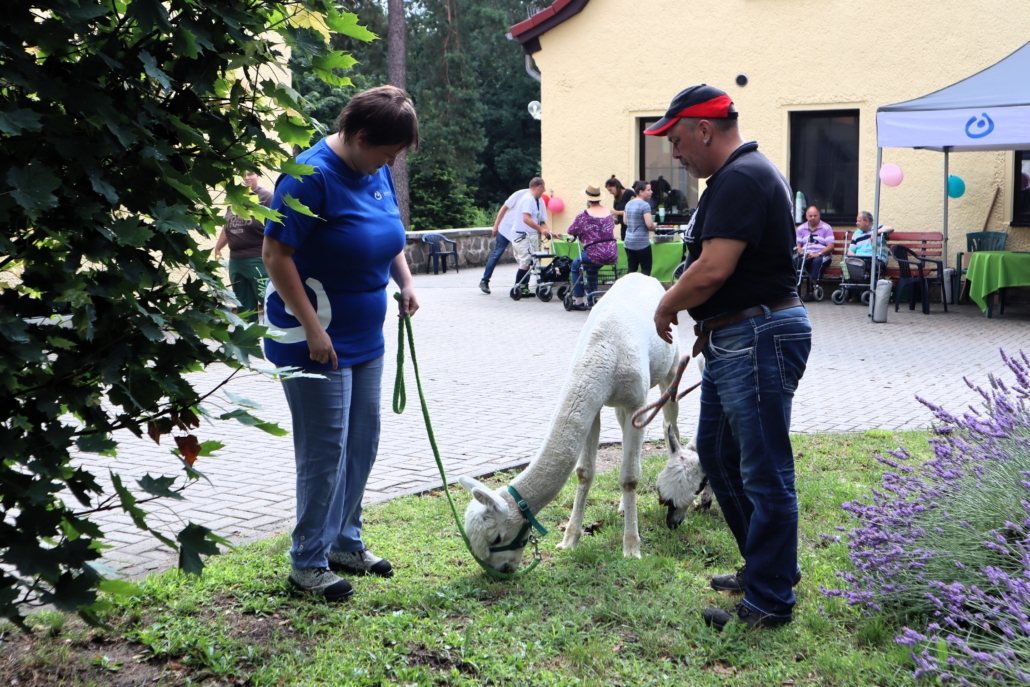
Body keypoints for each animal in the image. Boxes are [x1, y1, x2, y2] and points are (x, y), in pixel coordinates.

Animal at [459, 273, 709, 573]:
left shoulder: (637, 402)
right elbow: (584, 472)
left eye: (496, 538)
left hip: (670, 370)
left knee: (670, 419)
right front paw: (569, 541)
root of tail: (645, 276)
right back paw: (623, 507)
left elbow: (630, 477)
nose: (500, 570)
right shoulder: (595, 407)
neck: (605, 354)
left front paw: (632, 548)